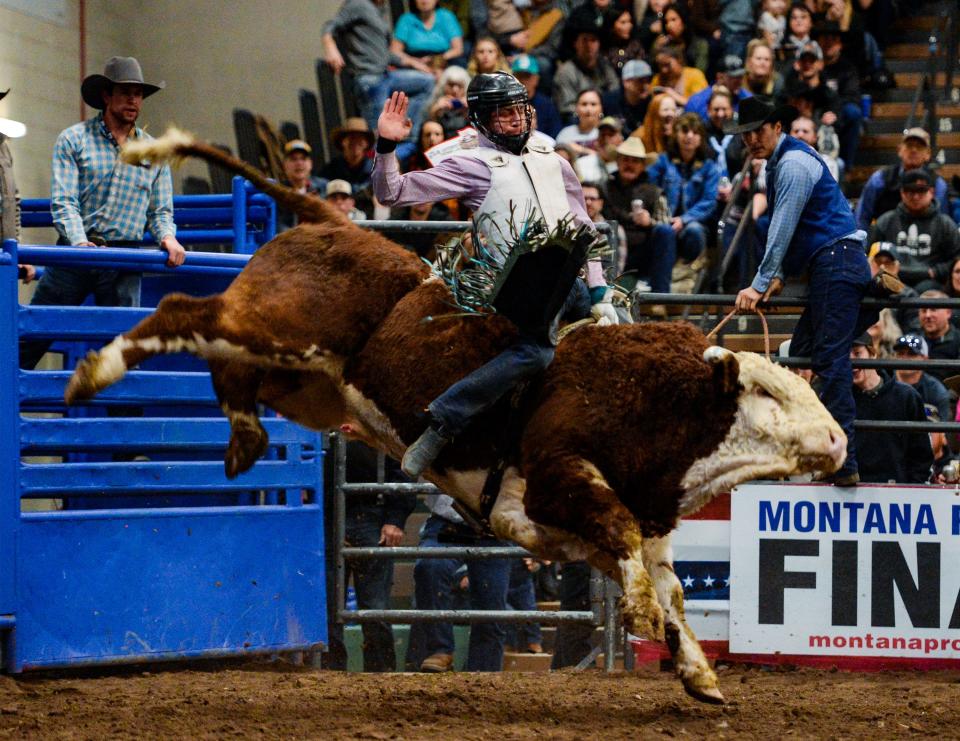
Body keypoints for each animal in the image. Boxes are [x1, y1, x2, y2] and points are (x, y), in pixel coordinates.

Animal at [65, 130, 848, 704]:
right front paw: (641, 619)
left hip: (303, 381)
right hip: (273, 329)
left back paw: (244, 437)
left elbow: (672, 587)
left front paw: (700, 676)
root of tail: (329, 221)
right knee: (181, 311)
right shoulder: (558, 475)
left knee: (228, 369)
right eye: (768, 394)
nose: (839, 439)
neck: (659, 395)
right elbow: (632, 552)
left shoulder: (641, 523)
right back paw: (91, 373)